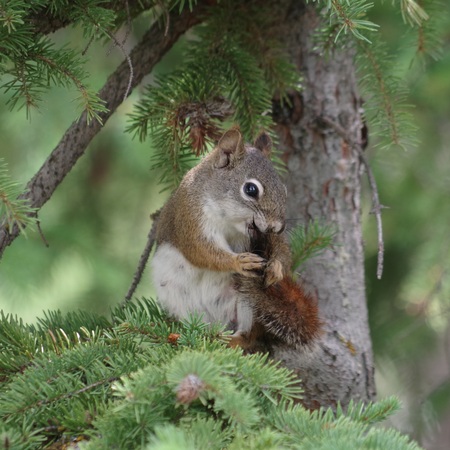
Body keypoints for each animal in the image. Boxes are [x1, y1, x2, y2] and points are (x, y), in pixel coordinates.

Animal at [151, 126, 320, 352]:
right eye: (251, 189)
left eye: (283, 190)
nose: (278, 226)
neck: (230, 220)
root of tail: (218, 324)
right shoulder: (189, 219)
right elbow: (200, 251)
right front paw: (239, 261)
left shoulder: (265, 234)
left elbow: (281, 249)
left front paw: (276, 269)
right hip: (178, 296)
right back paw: (192, 336)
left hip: (247, 303)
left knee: (248, 336)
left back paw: (229, 340)